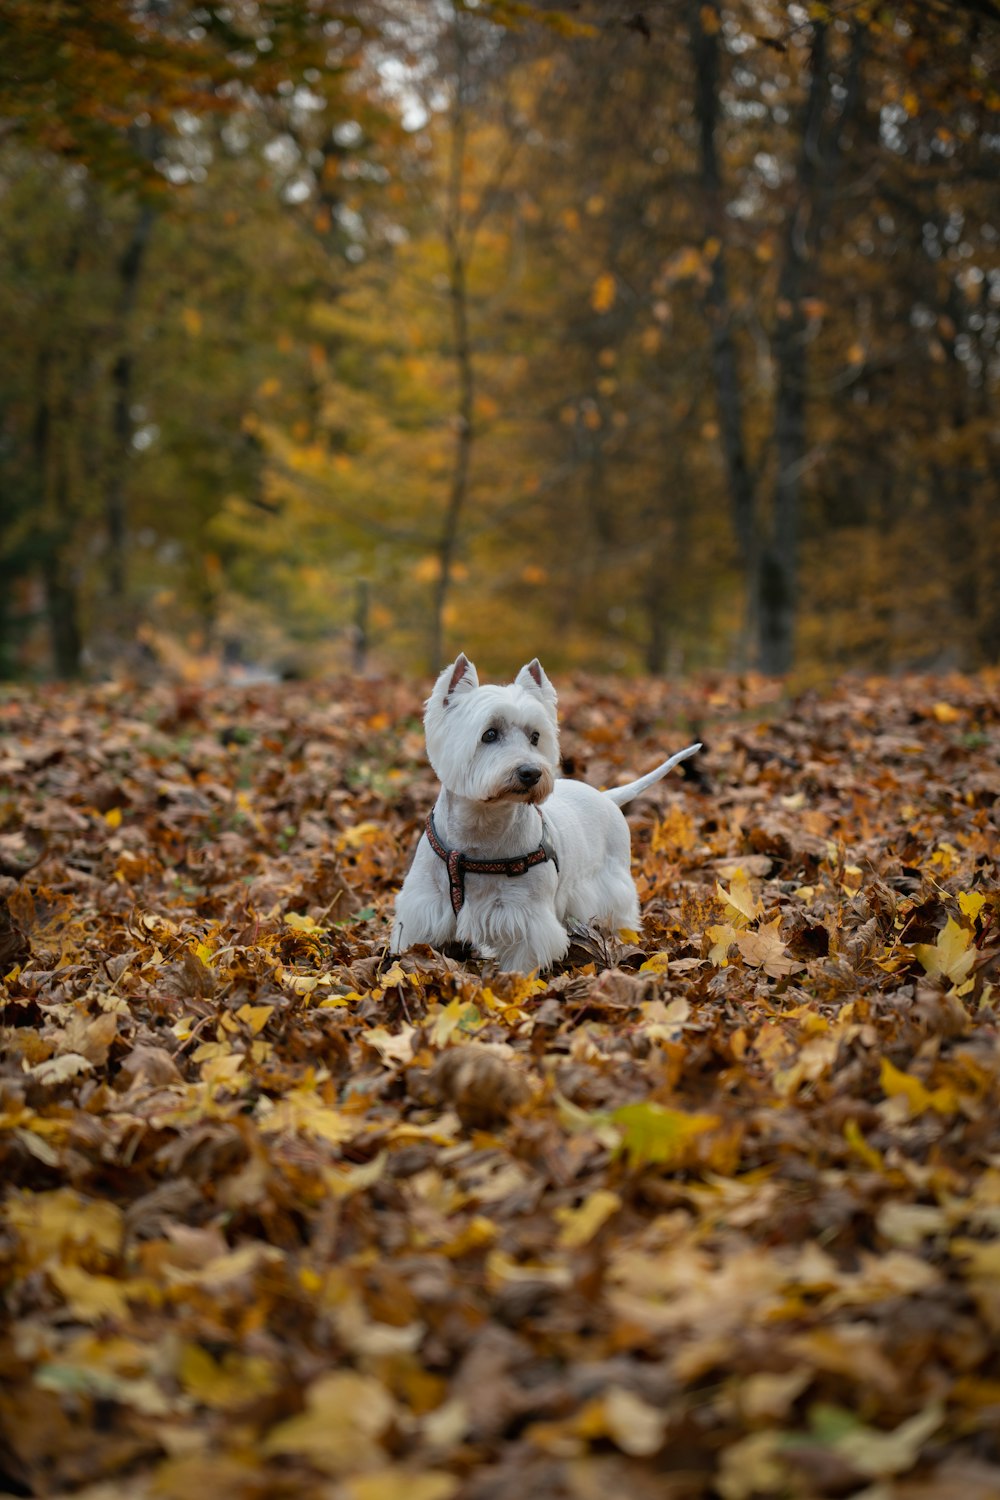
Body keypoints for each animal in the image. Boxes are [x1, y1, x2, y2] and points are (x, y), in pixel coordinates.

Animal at [386, 654, 701, 972]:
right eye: (489, 734)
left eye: (535, 736)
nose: (531, 772)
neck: (480, 827)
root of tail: (606, 795)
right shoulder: (423, 904)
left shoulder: (525, 917)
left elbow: (522, 963)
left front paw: (514, 981)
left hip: (614, 880)